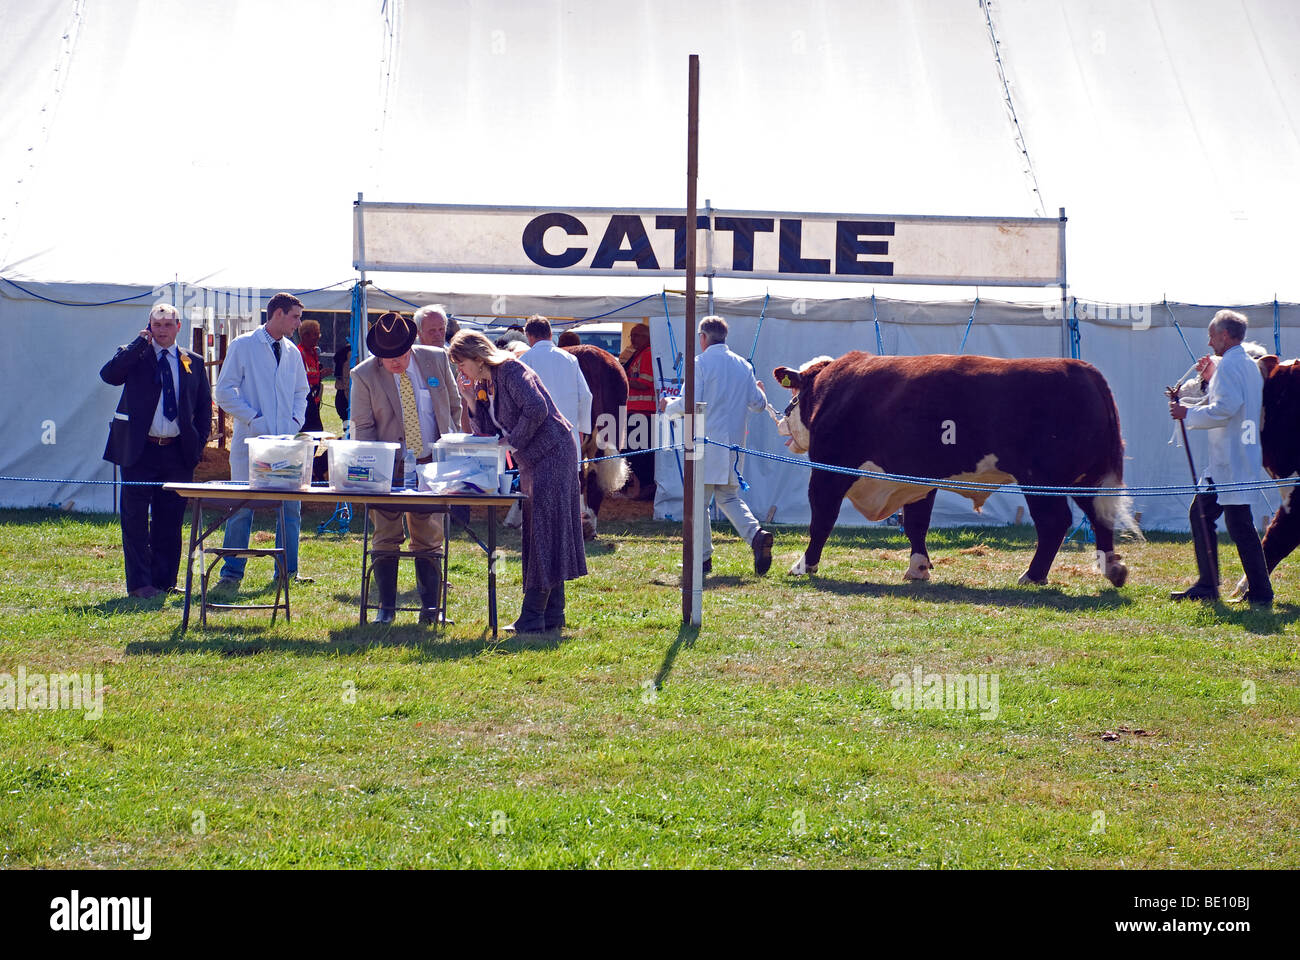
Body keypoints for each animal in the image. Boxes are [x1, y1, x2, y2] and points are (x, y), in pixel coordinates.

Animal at [774, 351, 1133, 587]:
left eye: (795, 392)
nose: (783, 423)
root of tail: (1081, 368)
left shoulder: (830, 469)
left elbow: (822, 520)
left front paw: (803, 566)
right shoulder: (916, 480)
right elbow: (916, 524)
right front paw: (918, 568)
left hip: (1042, 480)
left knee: (1054, 522)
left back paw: (1033, 575)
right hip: (1087, 478)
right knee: (1100, 518)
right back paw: (1112, 569)